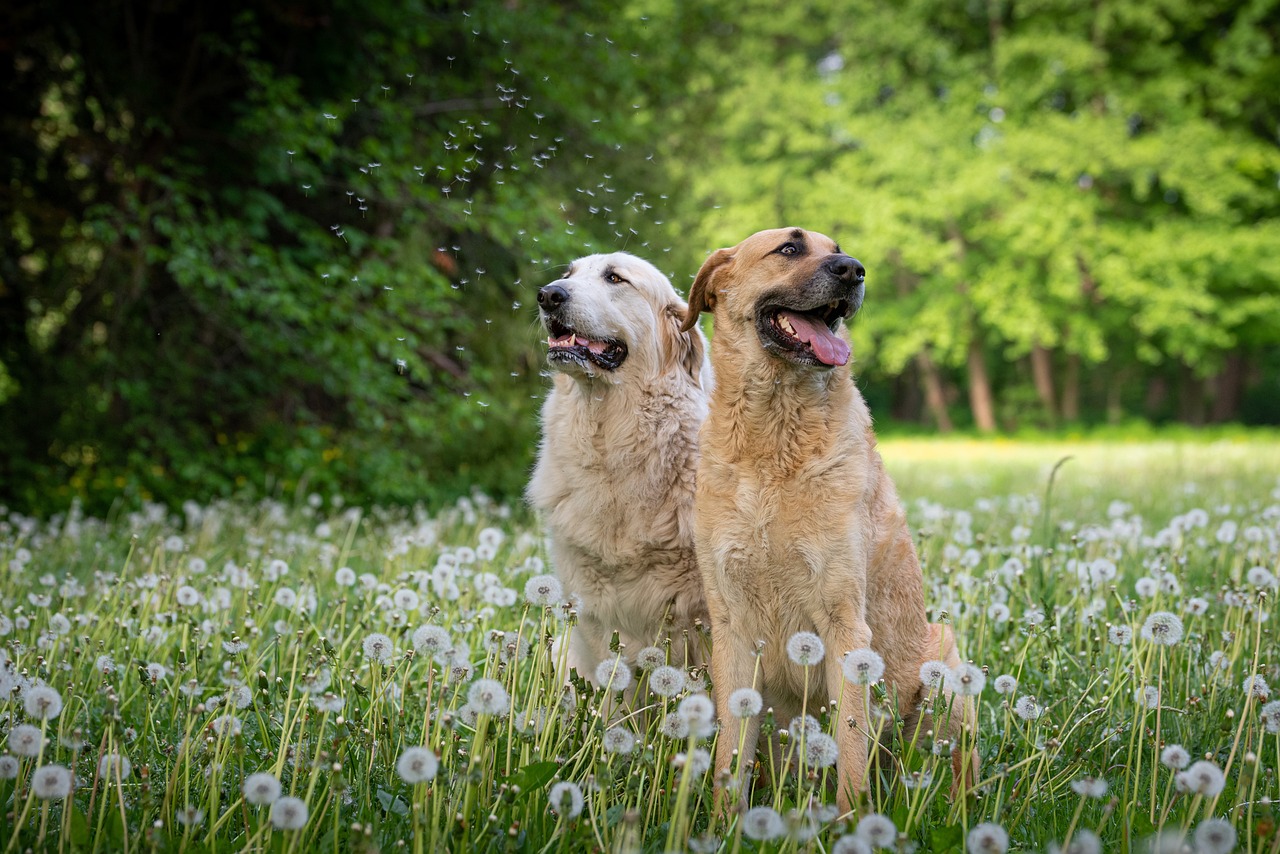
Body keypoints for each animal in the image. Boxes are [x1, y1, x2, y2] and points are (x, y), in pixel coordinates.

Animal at [686, 229, 972, 814]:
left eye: (838, 249)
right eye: (789, 249)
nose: (855, 270)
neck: (774, 438)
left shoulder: (844, 623)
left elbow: (852, 745)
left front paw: (849, 822)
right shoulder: (731, 626)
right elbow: (730, 750)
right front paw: (724, 823)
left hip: (945, 669)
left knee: (952, 771)